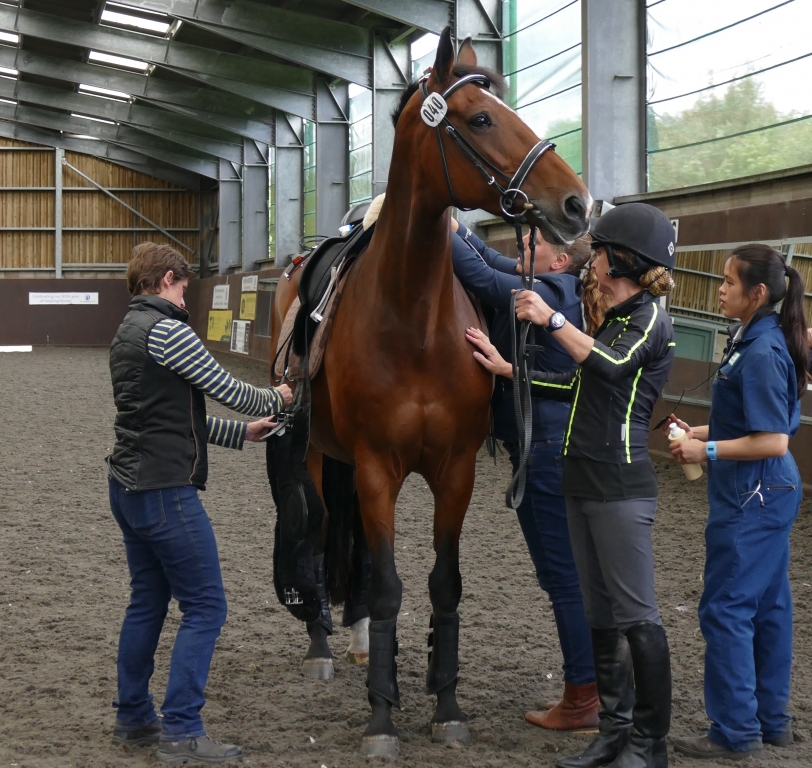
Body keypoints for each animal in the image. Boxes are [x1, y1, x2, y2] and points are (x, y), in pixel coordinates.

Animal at [269, 27, 591, 757]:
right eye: (480, 119)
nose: (577, 203)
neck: (411, 318)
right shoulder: (377, 468)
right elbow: (389, 583)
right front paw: (382, 719)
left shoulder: (455, 470)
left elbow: (445, 584)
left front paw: (446, 706)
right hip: (318, 453)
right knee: (320, 528)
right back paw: (324, 645)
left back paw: (362, 641)